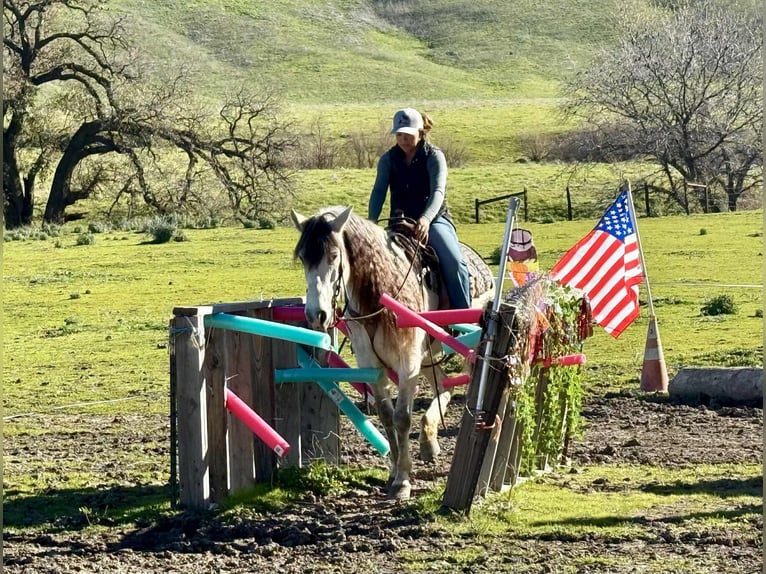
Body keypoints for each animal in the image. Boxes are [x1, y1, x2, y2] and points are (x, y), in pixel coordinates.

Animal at [291, 205, 494, 500]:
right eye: (303, 258)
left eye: (333, 255)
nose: (316, 315)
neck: (380, 295)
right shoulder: (372, 367)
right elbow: (386, 416)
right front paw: (394, 472)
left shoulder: (407, 364)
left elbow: (402, 417)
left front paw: (403, 481)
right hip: (427, 357)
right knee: (444, 385)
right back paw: (428, 441)